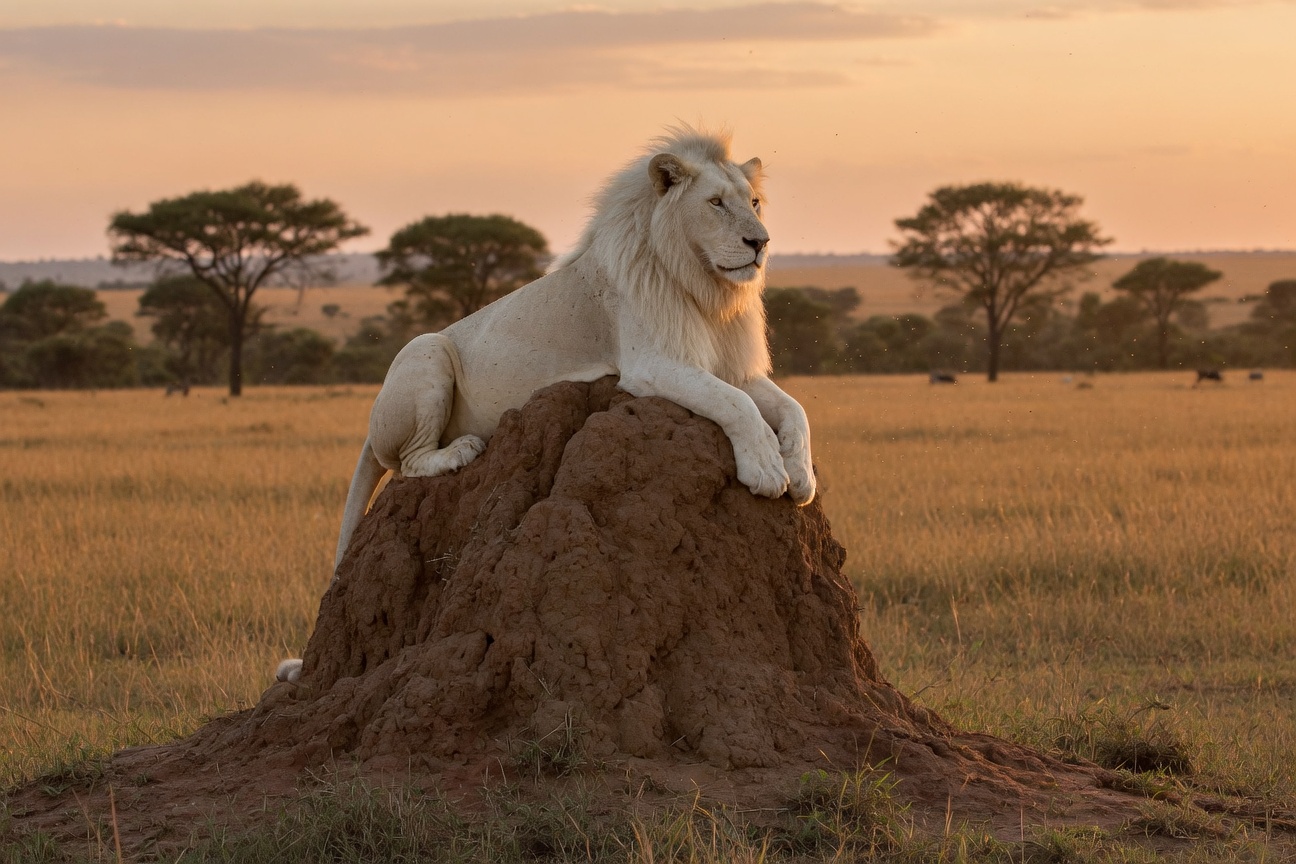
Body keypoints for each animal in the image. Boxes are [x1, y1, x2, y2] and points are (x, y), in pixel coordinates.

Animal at [276, 127, 815, 684]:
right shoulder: (652, 363)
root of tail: (372, 421)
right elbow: (736, 405)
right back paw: (460, 451)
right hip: (427, 349)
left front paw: (801, 474)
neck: (708, 289)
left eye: (753, 202)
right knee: (408, 461)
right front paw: (765, 470)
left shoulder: (731, 365)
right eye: (716, 203)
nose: (760, 243)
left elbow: (792, 409)